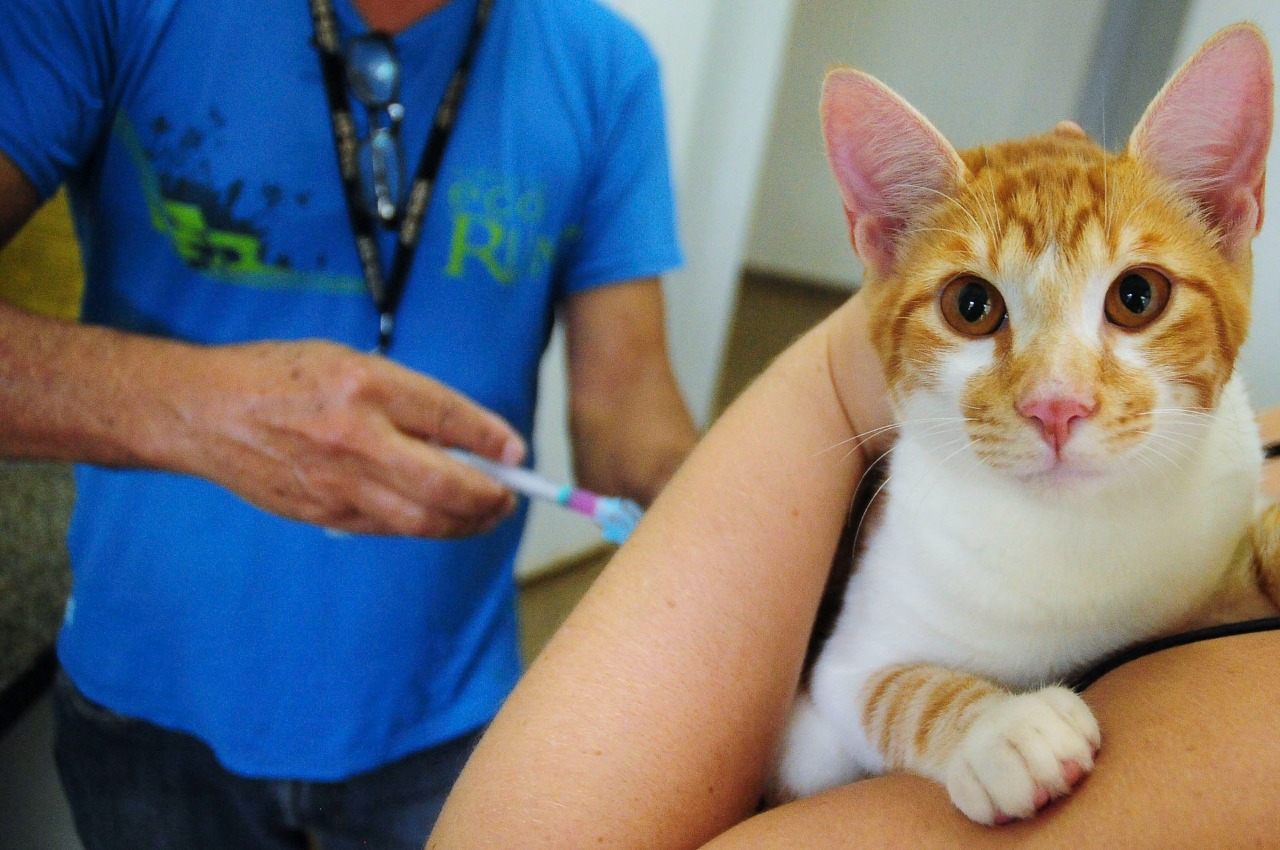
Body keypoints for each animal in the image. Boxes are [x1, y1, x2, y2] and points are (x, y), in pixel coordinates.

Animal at [768, 24, 1280, 824]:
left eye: (1138, 295)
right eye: (970, 306)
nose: (1056, 404)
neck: (1069, 541)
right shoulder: (824, 698)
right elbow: (886, 690)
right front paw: (1001, 729)